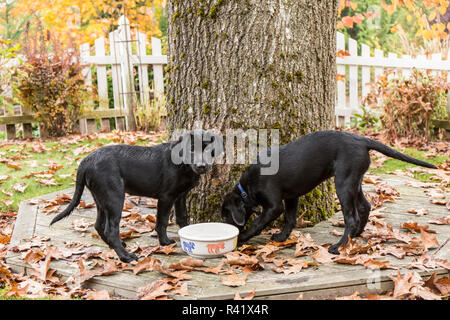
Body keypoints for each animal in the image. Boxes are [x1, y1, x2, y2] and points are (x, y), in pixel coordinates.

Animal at [51, 129, 220, 262]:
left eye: (208, 149)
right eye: (191, 149)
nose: (201, 166)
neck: (183, 165)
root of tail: (86, 160)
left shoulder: (180, 196)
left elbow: (182, 217)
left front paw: (188, 234)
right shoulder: (166, 197)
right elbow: (162, 221)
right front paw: (164, 242)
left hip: (101, 198)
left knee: (99, 225)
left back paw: (117, 247)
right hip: (115, 197)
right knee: (110, 230)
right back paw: (126, 256)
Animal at [221, 130, 436, 255]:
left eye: (224, 216)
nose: (224, 225)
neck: (247, 188)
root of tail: (362, 140)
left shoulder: (274, 206)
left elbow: (258, 223)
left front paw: (242, 237)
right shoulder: (292, 197)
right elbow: (290, 219)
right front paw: (282, 237)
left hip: (343, 183)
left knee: (351, 218)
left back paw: (339, 246)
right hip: (354, 181)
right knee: (365, 207)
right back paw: (356, 235)